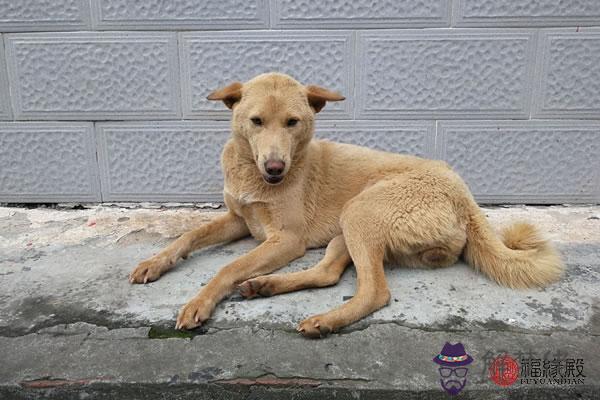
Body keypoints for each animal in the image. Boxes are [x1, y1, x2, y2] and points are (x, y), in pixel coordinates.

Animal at [127, 72, 564, 338]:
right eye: (255, 121)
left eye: (293, 122)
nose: (275, 168)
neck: (252, 171)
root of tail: (465, 195)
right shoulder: (239, 218)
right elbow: (187, 236)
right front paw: (154, 263)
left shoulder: (286, 239)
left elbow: (227, 267)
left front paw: (199, 302)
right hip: (345, 230)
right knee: (328, 274)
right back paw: (266, 285)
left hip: (360, 213)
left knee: (375, 293)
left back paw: (323, 320)